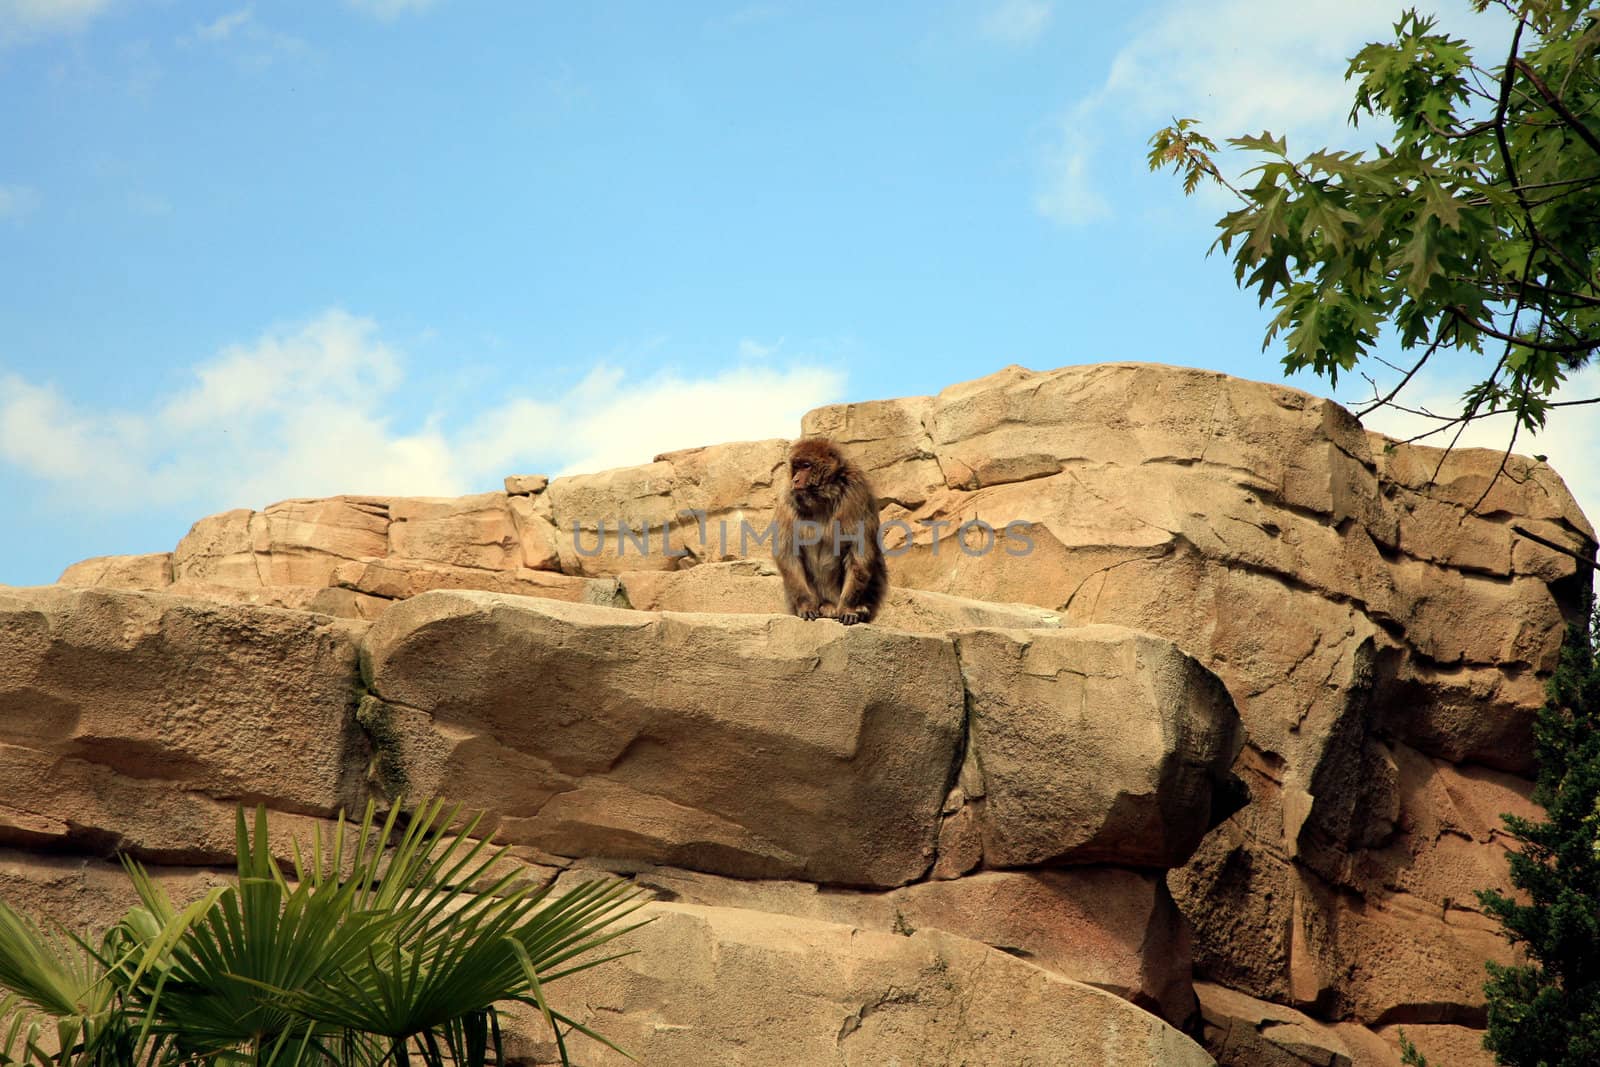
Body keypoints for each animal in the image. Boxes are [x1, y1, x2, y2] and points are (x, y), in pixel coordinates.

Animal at [774, 438, 889, 627]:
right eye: (796, 467)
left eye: (806, 466)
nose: (796, 479)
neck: (822, 498)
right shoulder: (786, 498)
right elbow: (788, 554)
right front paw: (806, 605)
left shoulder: (857, 493)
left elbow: (859, 553)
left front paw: (848, 608)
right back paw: (824, 606)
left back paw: (861, 609)